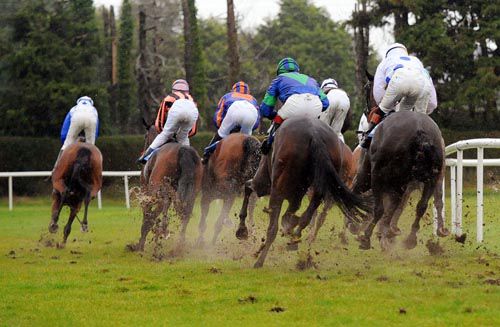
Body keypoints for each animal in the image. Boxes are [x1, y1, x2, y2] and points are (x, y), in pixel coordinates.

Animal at [128, 124, 202, 252]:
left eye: (145, 136)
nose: (143, 153)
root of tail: (183, 151)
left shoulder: (146, 191)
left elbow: (147, 213)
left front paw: (141, 243)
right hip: (192, 194)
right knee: (185, 215)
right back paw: (178, 247)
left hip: (157, 193)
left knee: (155, 213)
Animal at [236, 116, 370, 268]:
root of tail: (315, 134)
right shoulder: (296, 196)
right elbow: (292, 218)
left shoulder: (264, 182)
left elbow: (248, 187)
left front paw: (242, 230)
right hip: (319, 188)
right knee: (306, 216)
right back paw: (297, 244)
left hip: (276, 188)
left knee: (273, 227)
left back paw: (260, 260)